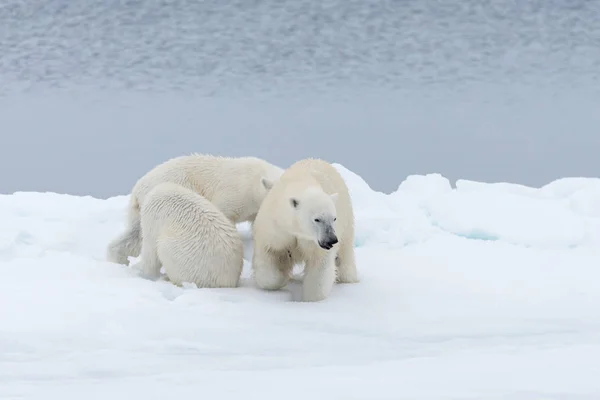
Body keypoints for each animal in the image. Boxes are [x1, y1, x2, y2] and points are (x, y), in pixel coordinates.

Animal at [106, 153, 284, 266]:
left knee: (135, 234)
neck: (255, 180)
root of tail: (138, 188)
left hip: (139, 209)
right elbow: (225, 212)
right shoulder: (235, 194)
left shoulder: (256, 209)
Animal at [251, 158, 358, 302]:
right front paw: (281, 276)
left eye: (334, 218)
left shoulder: (315, 243)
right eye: (317, 219)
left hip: (346, 219)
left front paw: (309, 301)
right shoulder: (275, 230)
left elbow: (319, 268)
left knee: (345, 252)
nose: (331, 240)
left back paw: (348, 278)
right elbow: (269, 257)